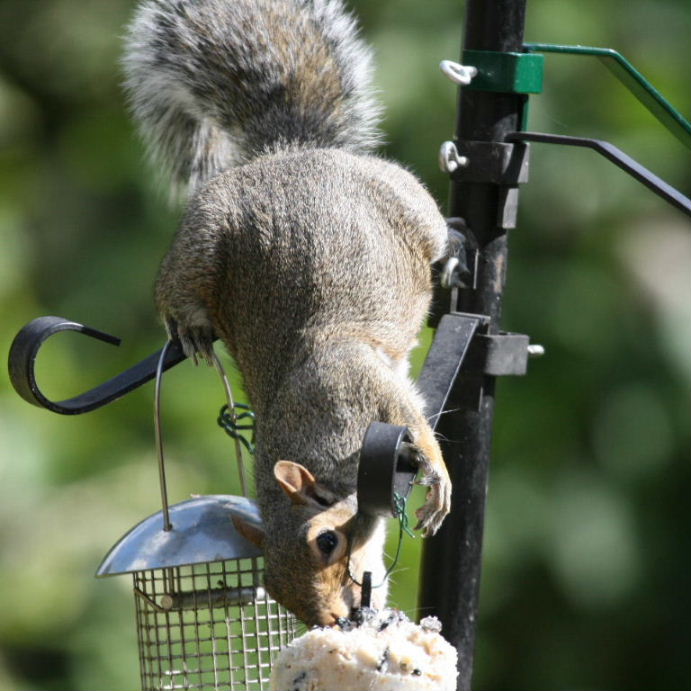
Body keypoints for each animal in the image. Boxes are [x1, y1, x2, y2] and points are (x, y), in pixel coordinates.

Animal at [124, 0, 452, 627]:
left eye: (326, 541)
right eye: (271, 588)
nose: (331, 620)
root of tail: (288, 153)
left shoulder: (355, 377)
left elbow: (416, 422)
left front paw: (438, 478)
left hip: (411, 207)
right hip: (194, 256)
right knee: (177, 298)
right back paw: (193, 332)